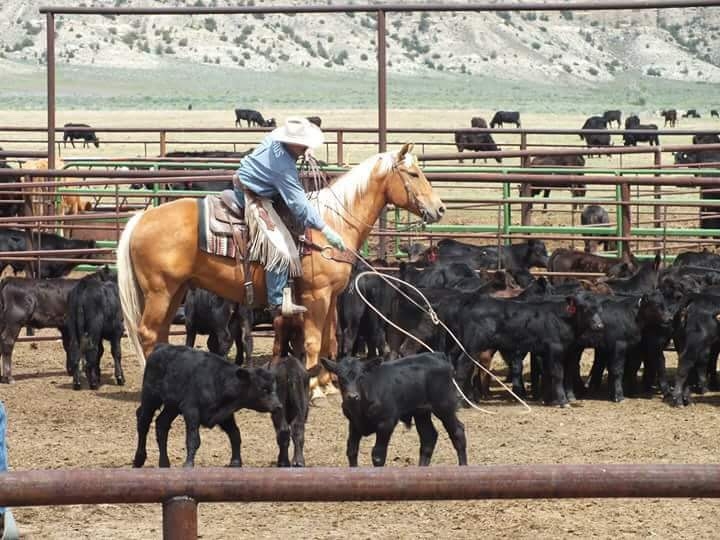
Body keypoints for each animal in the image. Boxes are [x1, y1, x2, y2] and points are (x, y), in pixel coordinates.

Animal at [117, 141, 444, 390]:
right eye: (413, 174)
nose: (439, 208)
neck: (331, 224)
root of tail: (141, 218)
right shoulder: (315, 295)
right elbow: (313, 341)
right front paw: (314, 386)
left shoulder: (331, 297)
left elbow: (329, 340)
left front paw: (327, 383)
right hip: (160, 290)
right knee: (148, 333)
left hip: (175, 290)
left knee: (159, 333)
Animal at [132, 346, 282, 468]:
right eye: (263, 389)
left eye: (274, 388)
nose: (278, 406)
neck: (217, 380)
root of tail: (160, 347)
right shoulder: (191, 411)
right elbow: (193, 439)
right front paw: (188, 464)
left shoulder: (225, 415)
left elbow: (235, 435)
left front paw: (236, 462)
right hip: (150, 398)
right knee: (143, 422)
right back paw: (139, 459)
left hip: (172, 407)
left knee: (161, 424)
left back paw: (164, 463)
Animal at [320, 354, 466, 468]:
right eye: (341, 378)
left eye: (361, 376)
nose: (352, 396)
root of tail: (437, 355)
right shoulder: (354, 424)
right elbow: (352, 450)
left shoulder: (386, 423)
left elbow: (378, 455)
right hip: (421, 412)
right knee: (428, 437)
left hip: (444, 406)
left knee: (457, 432)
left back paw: (463, 466)